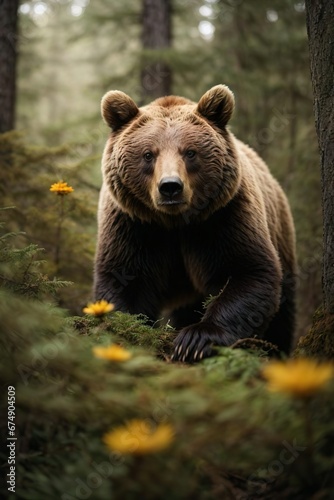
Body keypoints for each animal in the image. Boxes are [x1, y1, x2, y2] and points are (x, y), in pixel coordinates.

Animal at [94, 84, 298, 362]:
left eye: (190, 152)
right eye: (148, 154)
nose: (170, 187)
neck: (174, 222)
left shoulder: (224, 216)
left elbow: (250, 271)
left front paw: (195, 340)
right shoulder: (134, 225)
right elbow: (123, 279)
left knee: (283, 315)